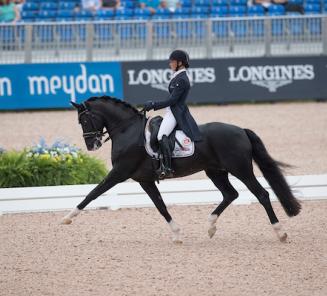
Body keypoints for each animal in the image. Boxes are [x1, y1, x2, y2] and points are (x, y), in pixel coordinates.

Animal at [62, 96, 302, 244]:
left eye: (84, 120)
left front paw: (67, 217)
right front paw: (177, 235)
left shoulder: (120, 173)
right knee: (230, 194)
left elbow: (93, 192)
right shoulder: (144, 180)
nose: (91, 145)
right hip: (215, 171)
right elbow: (160, 206)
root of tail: (241, 130)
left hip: (240, 169)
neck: (127, 130)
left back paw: (281, 233)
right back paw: (210, 226)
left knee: (261, 194)